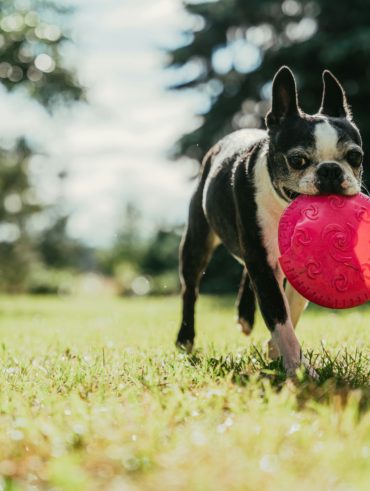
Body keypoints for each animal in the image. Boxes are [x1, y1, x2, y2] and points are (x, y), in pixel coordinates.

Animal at [177, 67, 364, 378]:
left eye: (355, 157)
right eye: (297, 160)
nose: (330, 170)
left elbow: (292, 305)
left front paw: (277, 351)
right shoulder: (261, 260)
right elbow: (279, 314)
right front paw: (300, 369)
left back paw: (245, 316)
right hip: (197, 242)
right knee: (190, 289)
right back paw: (185, 339)